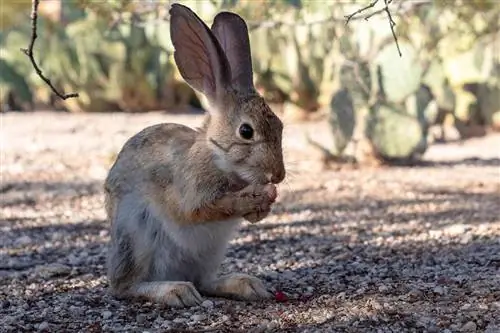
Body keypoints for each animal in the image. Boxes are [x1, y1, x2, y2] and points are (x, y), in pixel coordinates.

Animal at [103, 3, 286, 308]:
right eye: (246, 131)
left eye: (281, 126)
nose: (278, 176)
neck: (217, 157)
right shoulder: (190, 192)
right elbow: (200, 210)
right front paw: (252, 197)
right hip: (136, 237)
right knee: (125, 286)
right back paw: (176, 291)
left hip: (211, 253)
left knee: (205, 281)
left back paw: (247, 285)